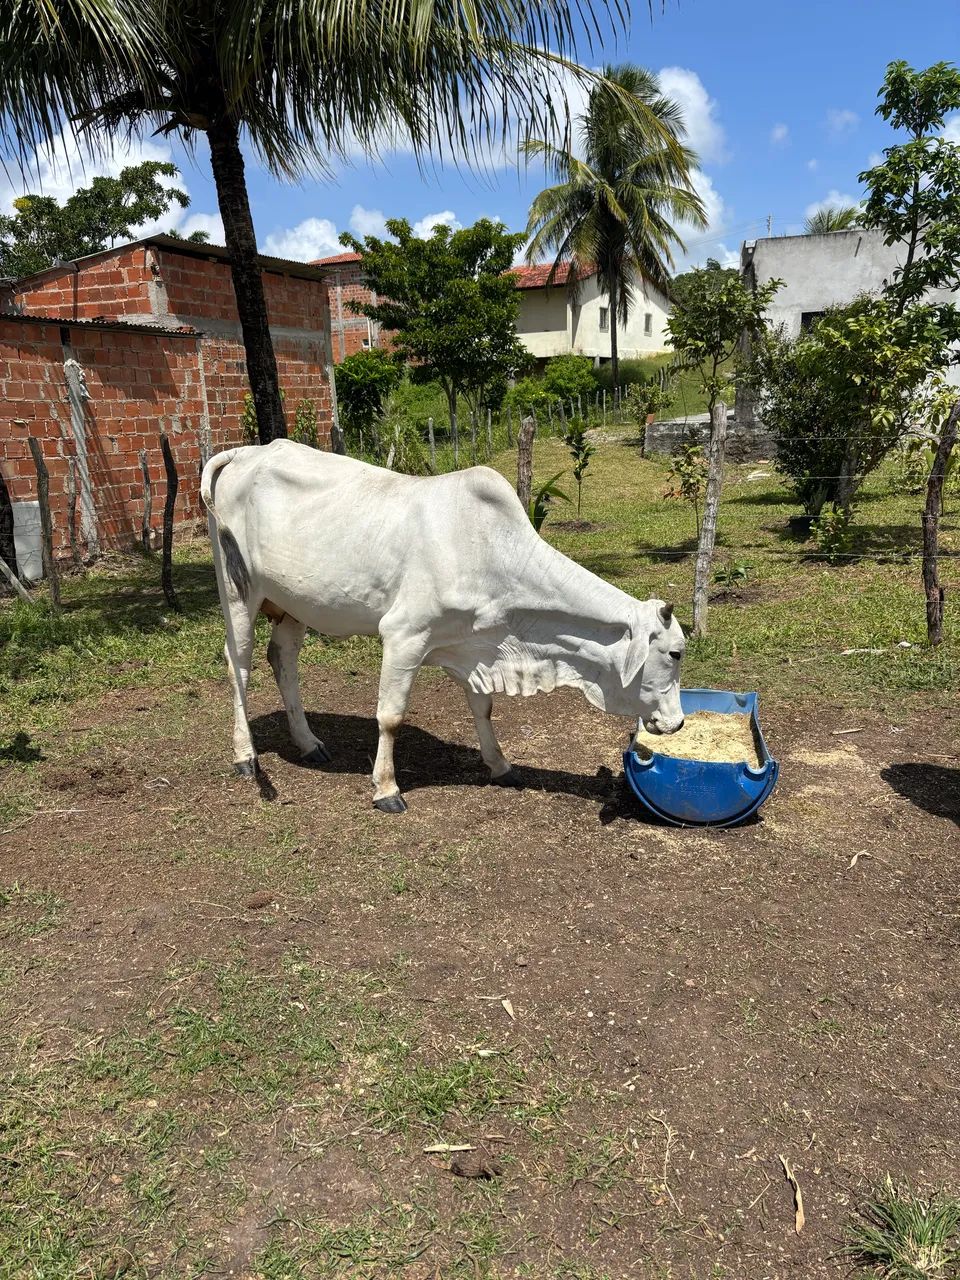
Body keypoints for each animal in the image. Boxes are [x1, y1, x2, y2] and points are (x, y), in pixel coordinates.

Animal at [201, 440, 685, 813]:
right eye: (675, 652)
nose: (678, 723)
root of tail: (248, 451)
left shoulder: (474, 646)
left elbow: (483, 707)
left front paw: (500, 766)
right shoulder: (403, 635)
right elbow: (390, 716)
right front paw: (386, 789)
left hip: (293, 605)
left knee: (282, 659)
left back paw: (308, 742)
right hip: (238, 591)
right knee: (238, 663)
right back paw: (245, 756)